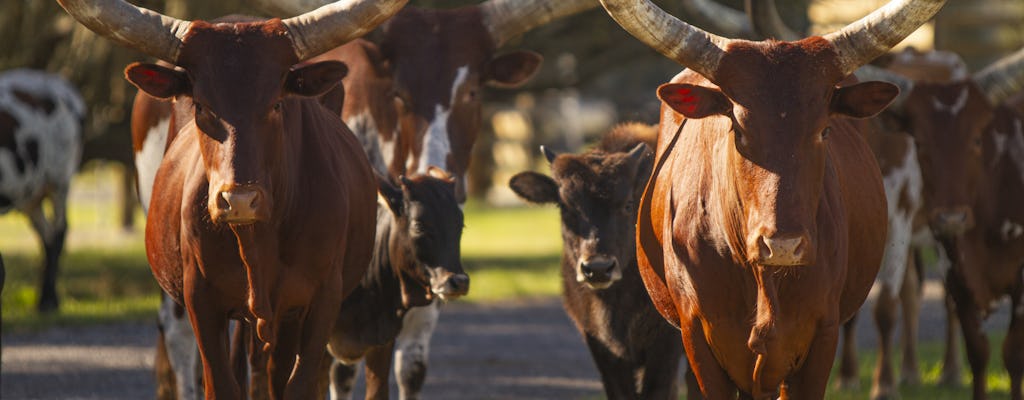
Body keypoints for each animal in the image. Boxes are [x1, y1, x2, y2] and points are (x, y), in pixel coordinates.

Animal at [58, 0, 407, 396]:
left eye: (277, 104)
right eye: (200, 106)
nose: (239, 200)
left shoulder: (322, 298)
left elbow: (297, 384)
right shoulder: (200, 297)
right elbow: (221, 383)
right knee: (184, 342)